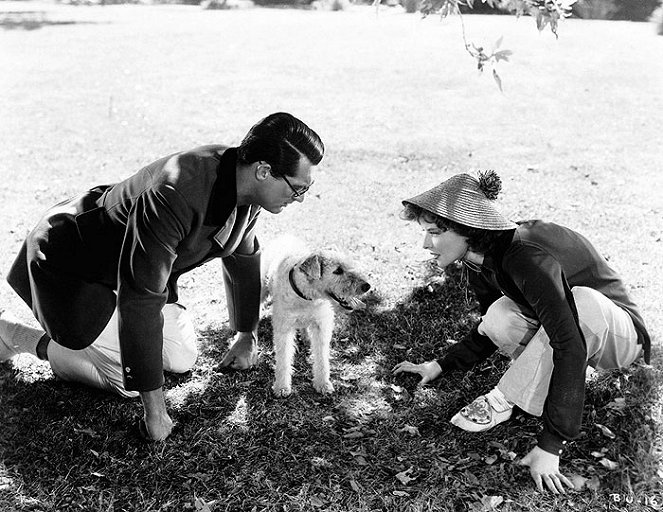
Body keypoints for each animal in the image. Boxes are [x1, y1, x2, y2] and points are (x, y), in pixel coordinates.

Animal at [262, 237, 370, 400]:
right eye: (338, 270)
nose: (367, 286)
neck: (306, 296)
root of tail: (287, 236)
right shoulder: (283, 328)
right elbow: (283, 359)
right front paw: (281, 387)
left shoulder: (321, 325)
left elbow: (322, 358)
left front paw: (323, 384)